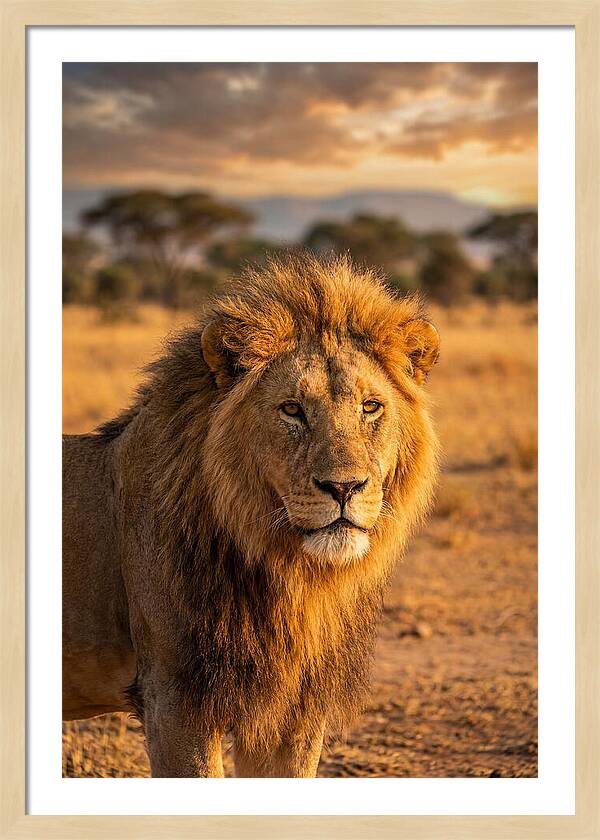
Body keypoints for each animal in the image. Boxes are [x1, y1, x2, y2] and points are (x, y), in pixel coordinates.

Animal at [62, 254, 440, 777]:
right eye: (292, 410)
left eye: (371, 407)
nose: (344, 487)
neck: (291, 577)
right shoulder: (175, 700)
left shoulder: (294, 712)